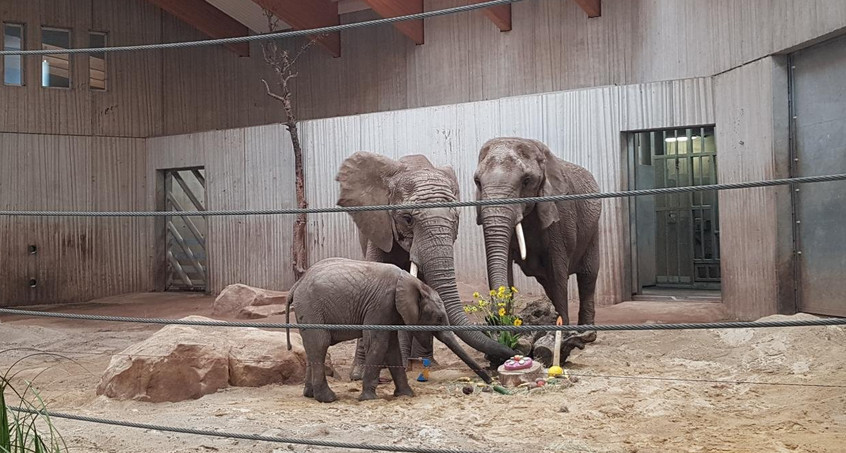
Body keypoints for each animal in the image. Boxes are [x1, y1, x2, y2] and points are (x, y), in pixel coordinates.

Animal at [288, 256, 494, 400]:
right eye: (439, 318)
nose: (490, 381)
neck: (414, 283)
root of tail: (296, 284)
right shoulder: (381, 304)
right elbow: (378, 342)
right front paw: (368, 398)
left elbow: (392, 347)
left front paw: (406, 395)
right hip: (311, 307)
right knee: (320, 343)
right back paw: (328, 398)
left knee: (312, 346)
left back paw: (310, 395)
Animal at [338, 151, 516, 378]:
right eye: (407, 219)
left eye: (456, 218)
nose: (508, 354)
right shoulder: (378, 227)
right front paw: (359, 374)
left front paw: (412, 365)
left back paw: (421, 363)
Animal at [476, 138, 604, 340]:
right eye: (477, 182)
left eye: (526, 181)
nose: (492, 320)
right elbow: (505, 268)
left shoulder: (561, 212)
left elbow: (558, 270)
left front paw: (560, 333)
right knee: (547, 282)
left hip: (592, 230)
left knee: (588, 276)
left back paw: (587, 333)